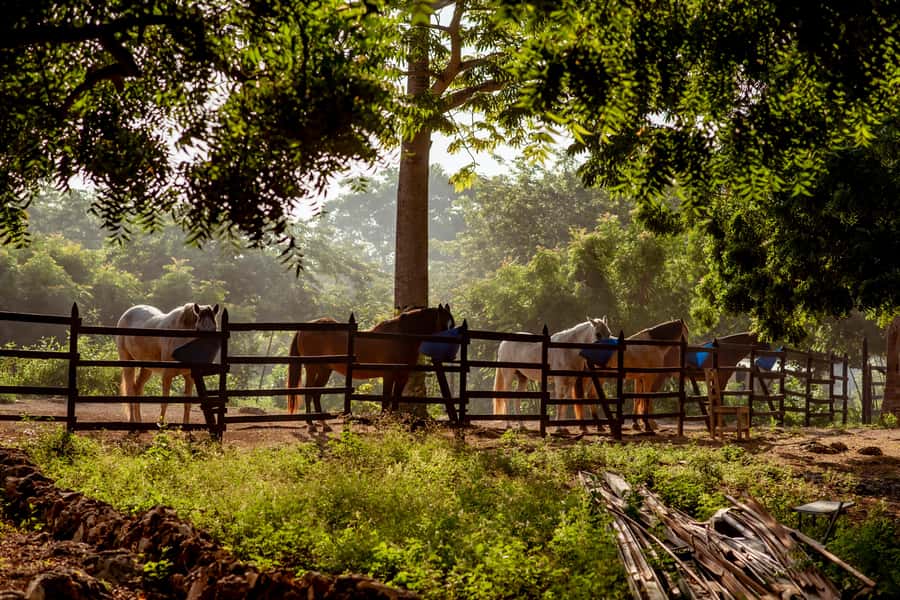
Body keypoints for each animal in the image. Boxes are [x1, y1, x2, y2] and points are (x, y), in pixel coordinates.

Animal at [286, 304, 455, 422]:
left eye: (452, 325)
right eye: (444, 325)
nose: (451, 354)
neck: (400, 337)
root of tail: (304, 329)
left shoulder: (402, 376)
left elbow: (395, 400)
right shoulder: (388, 375)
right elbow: (386, 399)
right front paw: (384, 420)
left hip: (325, 369)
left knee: (316, 392)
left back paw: (321, 419)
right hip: (312, 367)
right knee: (309, 391)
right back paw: (309, 421)